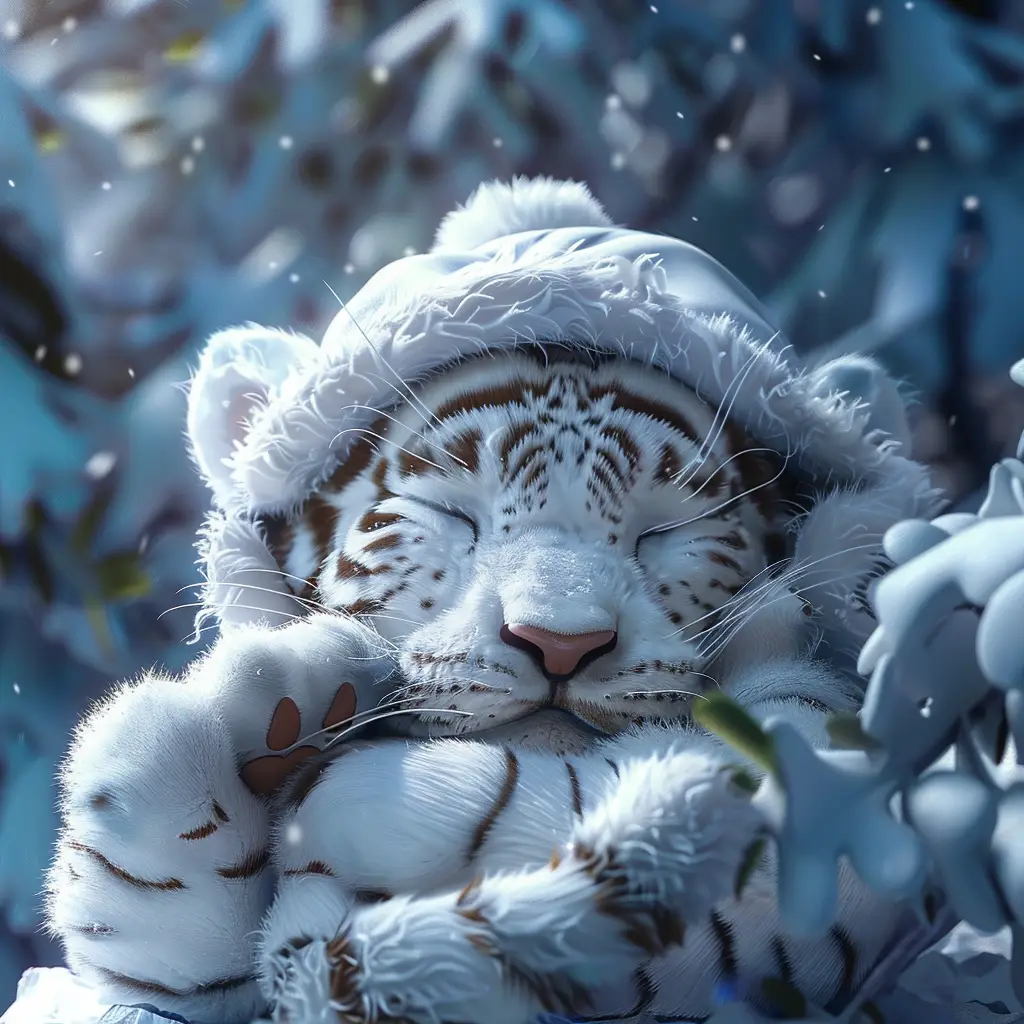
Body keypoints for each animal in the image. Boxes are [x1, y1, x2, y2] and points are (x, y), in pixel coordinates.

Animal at [44, 177, 943, 1024]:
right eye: (451, 514)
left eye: (665, 530)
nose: (559, 642)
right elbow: (171, 943)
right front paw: (264, 720)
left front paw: (374, 799)